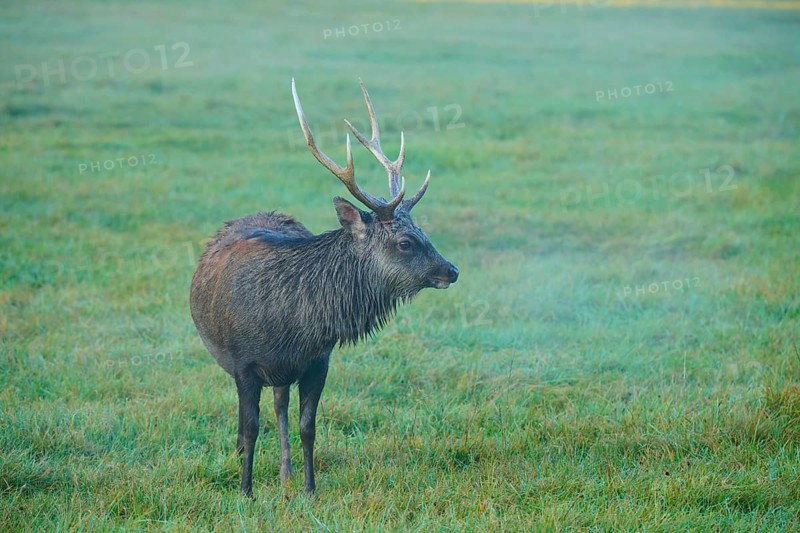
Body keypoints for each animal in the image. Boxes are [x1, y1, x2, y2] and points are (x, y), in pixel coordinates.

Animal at [189, 79, 459, 496]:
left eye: (423, 233)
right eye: (405, 243)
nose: (451, 270)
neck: (291, 325)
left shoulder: (318, 360)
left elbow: (308, 427)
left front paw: (309, 489)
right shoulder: (245, 364)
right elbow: (251, 427)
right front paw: (245, 491)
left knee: (280, 405)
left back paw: (284, 472)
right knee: (250, 417)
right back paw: (241, 461)